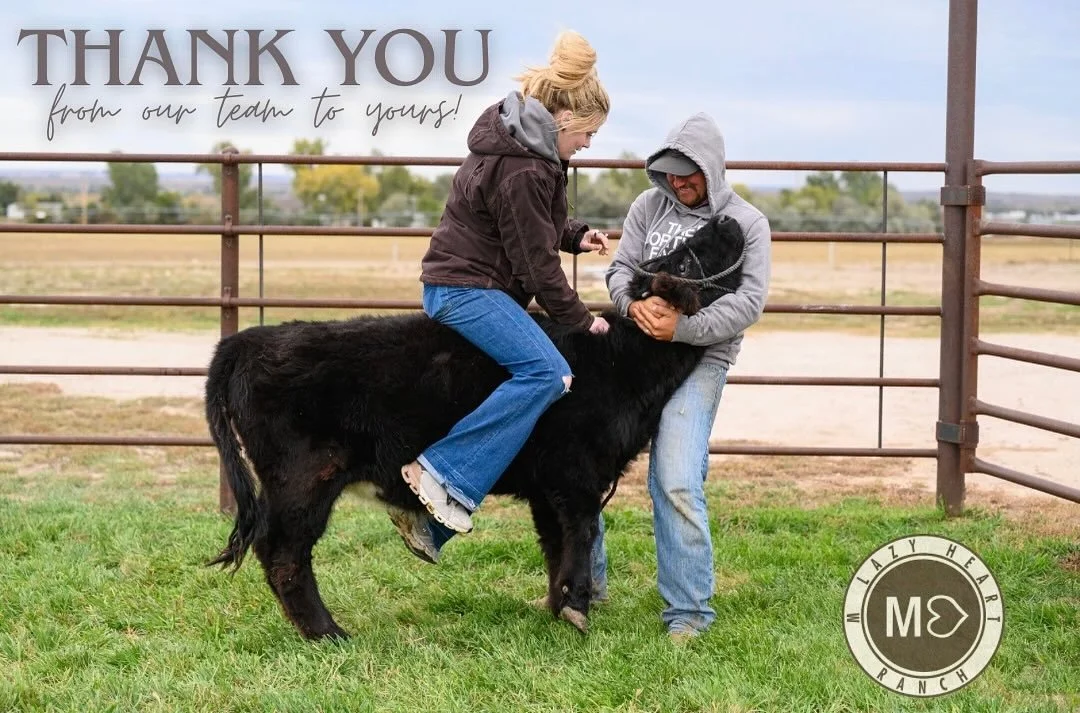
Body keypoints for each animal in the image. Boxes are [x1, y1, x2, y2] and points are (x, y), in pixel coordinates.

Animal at [206, 213, 746, 640]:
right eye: (683, 261)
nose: (725, 219)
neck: (619, 360)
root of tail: (252, 339)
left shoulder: (548, 485)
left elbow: (554, 543)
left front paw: (557, 606)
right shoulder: (576, 475)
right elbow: (582, 533)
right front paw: (576, 607)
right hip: (304, 478)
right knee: (282, 552)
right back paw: (328, 633)